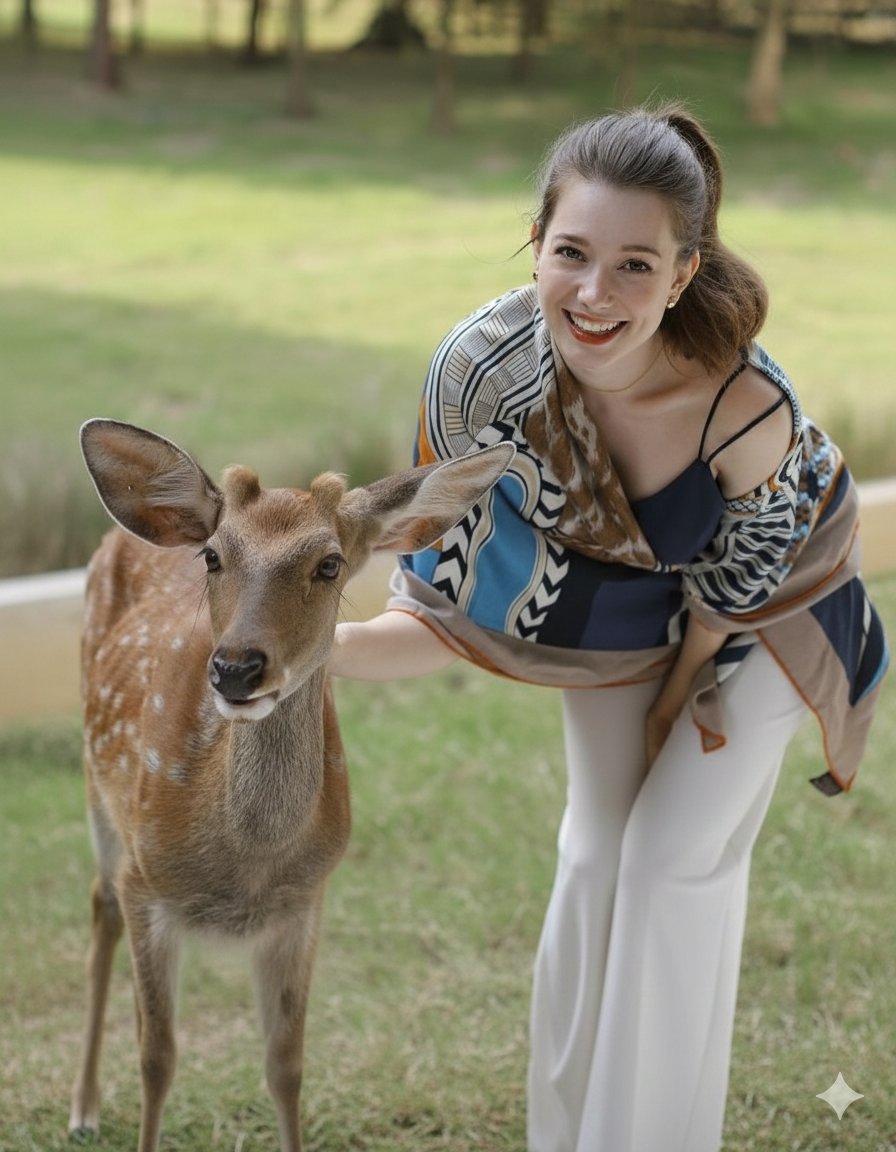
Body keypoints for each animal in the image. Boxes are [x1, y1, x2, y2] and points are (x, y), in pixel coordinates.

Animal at [69, 418, 514, 1152]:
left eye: (329, 564)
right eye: (213, 557)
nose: (236, 669)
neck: (246, 861)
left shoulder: (304, 902)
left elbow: (286, 1065)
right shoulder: (146, 884)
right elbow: (157, 1057)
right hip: (98, 789)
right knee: (99, 906)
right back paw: (82, 1109)